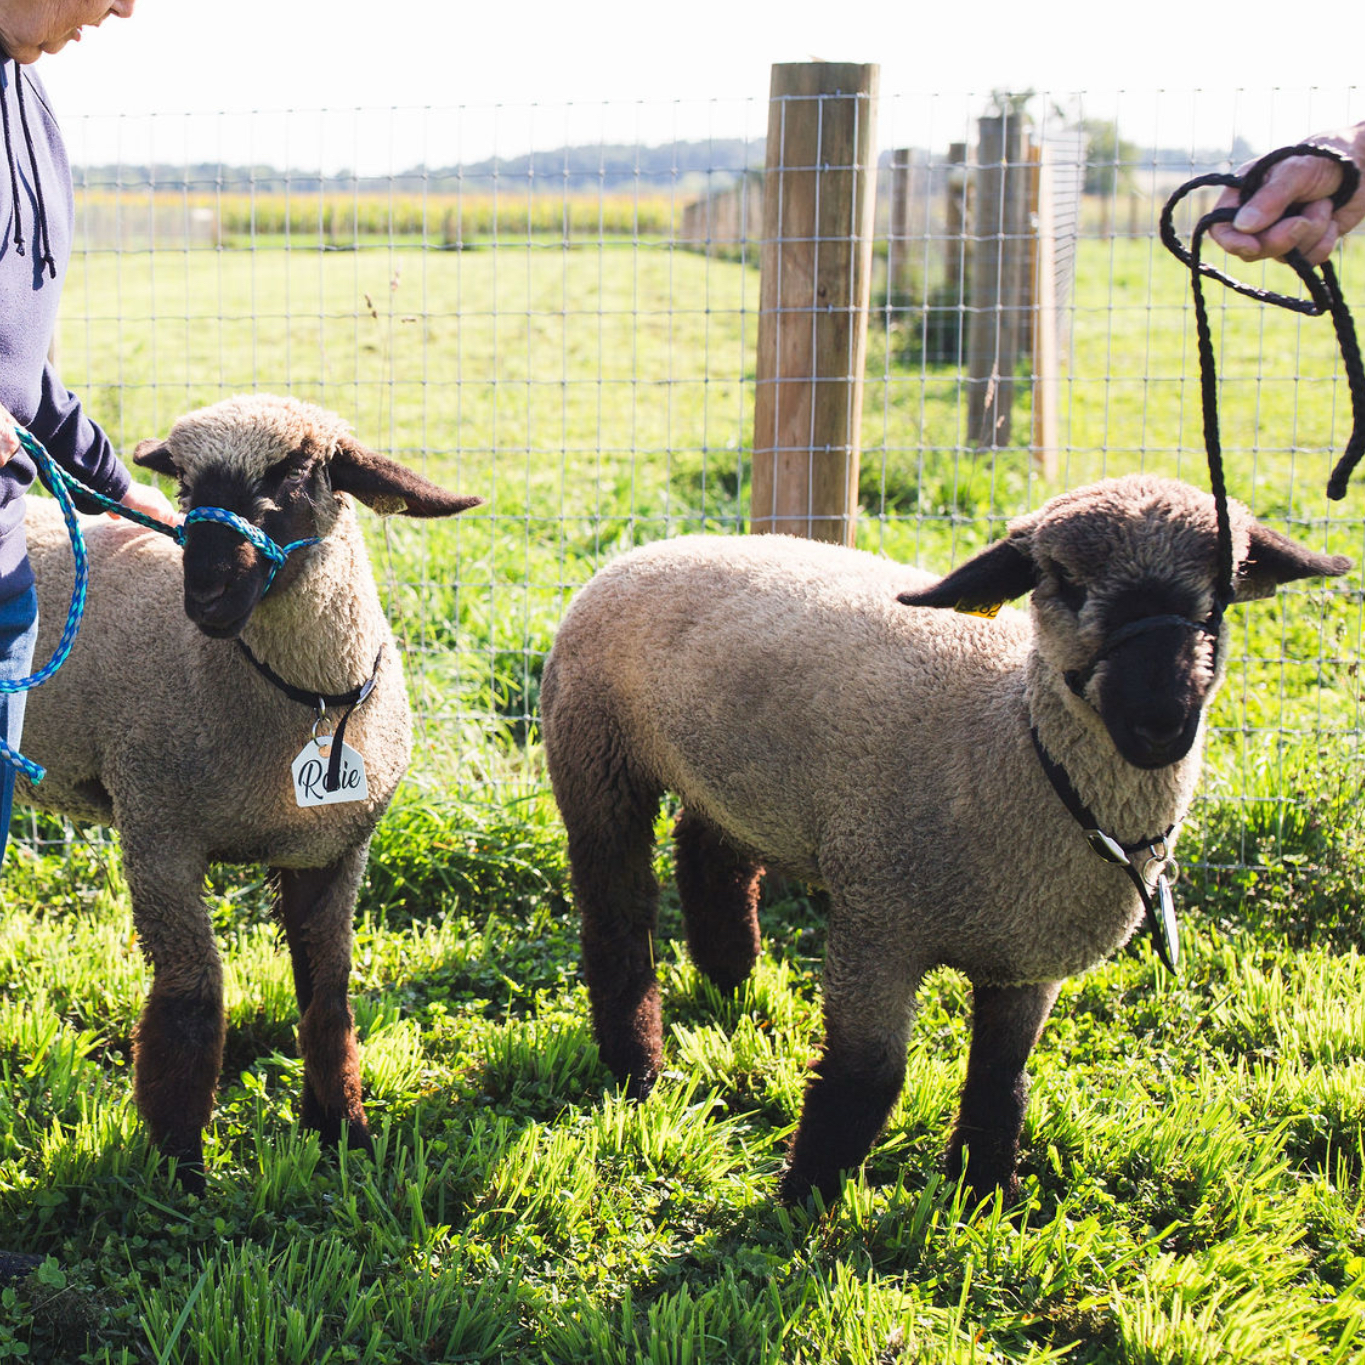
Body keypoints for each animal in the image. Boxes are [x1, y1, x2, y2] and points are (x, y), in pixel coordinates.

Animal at [15, 393, 481, 1192]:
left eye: (293, 478)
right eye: (187, 486)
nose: (203, 592)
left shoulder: (332, 849)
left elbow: (327, 996)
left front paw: (343, 1134)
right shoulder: (157, 830)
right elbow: (192, 999)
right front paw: (180, 1171)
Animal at [539, 474, 1350, 1206]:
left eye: (1221, 593)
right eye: (1062, 580)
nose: (1160, 720)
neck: (1011, 743)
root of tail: (651, 548)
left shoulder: (1029, 957)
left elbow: (1000, 1077)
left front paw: (984, 1191)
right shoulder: (877, 922)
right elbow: (866, 1076)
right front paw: (806, 1198)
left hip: (730, 777)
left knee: (711, 856)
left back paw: (732, 979)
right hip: (596, 754)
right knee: (618, 915)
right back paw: (636, 1065)